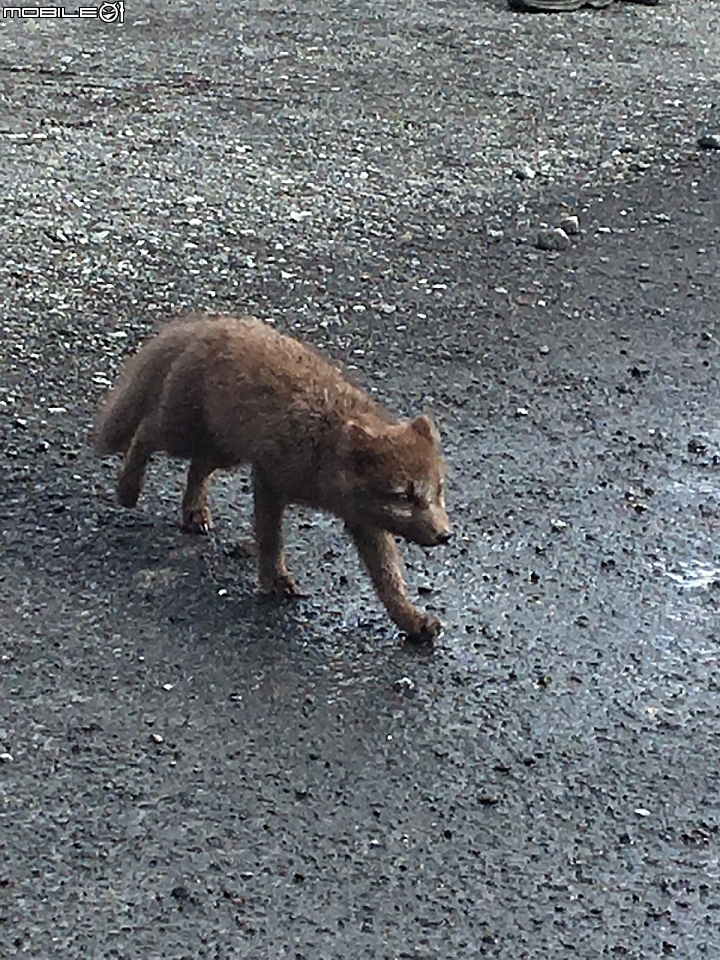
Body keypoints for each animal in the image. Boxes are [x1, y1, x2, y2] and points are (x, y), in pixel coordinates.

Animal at [95, 318, 450, 640]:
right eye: (404, 495)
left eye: (438, 491)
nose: (445, 535)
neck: (323, 445)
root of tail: (212, 323)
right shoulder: (268, 480)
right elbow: (270, 539)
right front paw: (275, 581)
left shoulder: (364, 523)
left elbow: (389, 580)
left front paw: (412, 621)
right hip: (182, 435)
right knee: (144, 433)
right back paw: (128, 489)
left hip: (224, 450)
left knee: (197, 468)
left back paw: (194, 512)